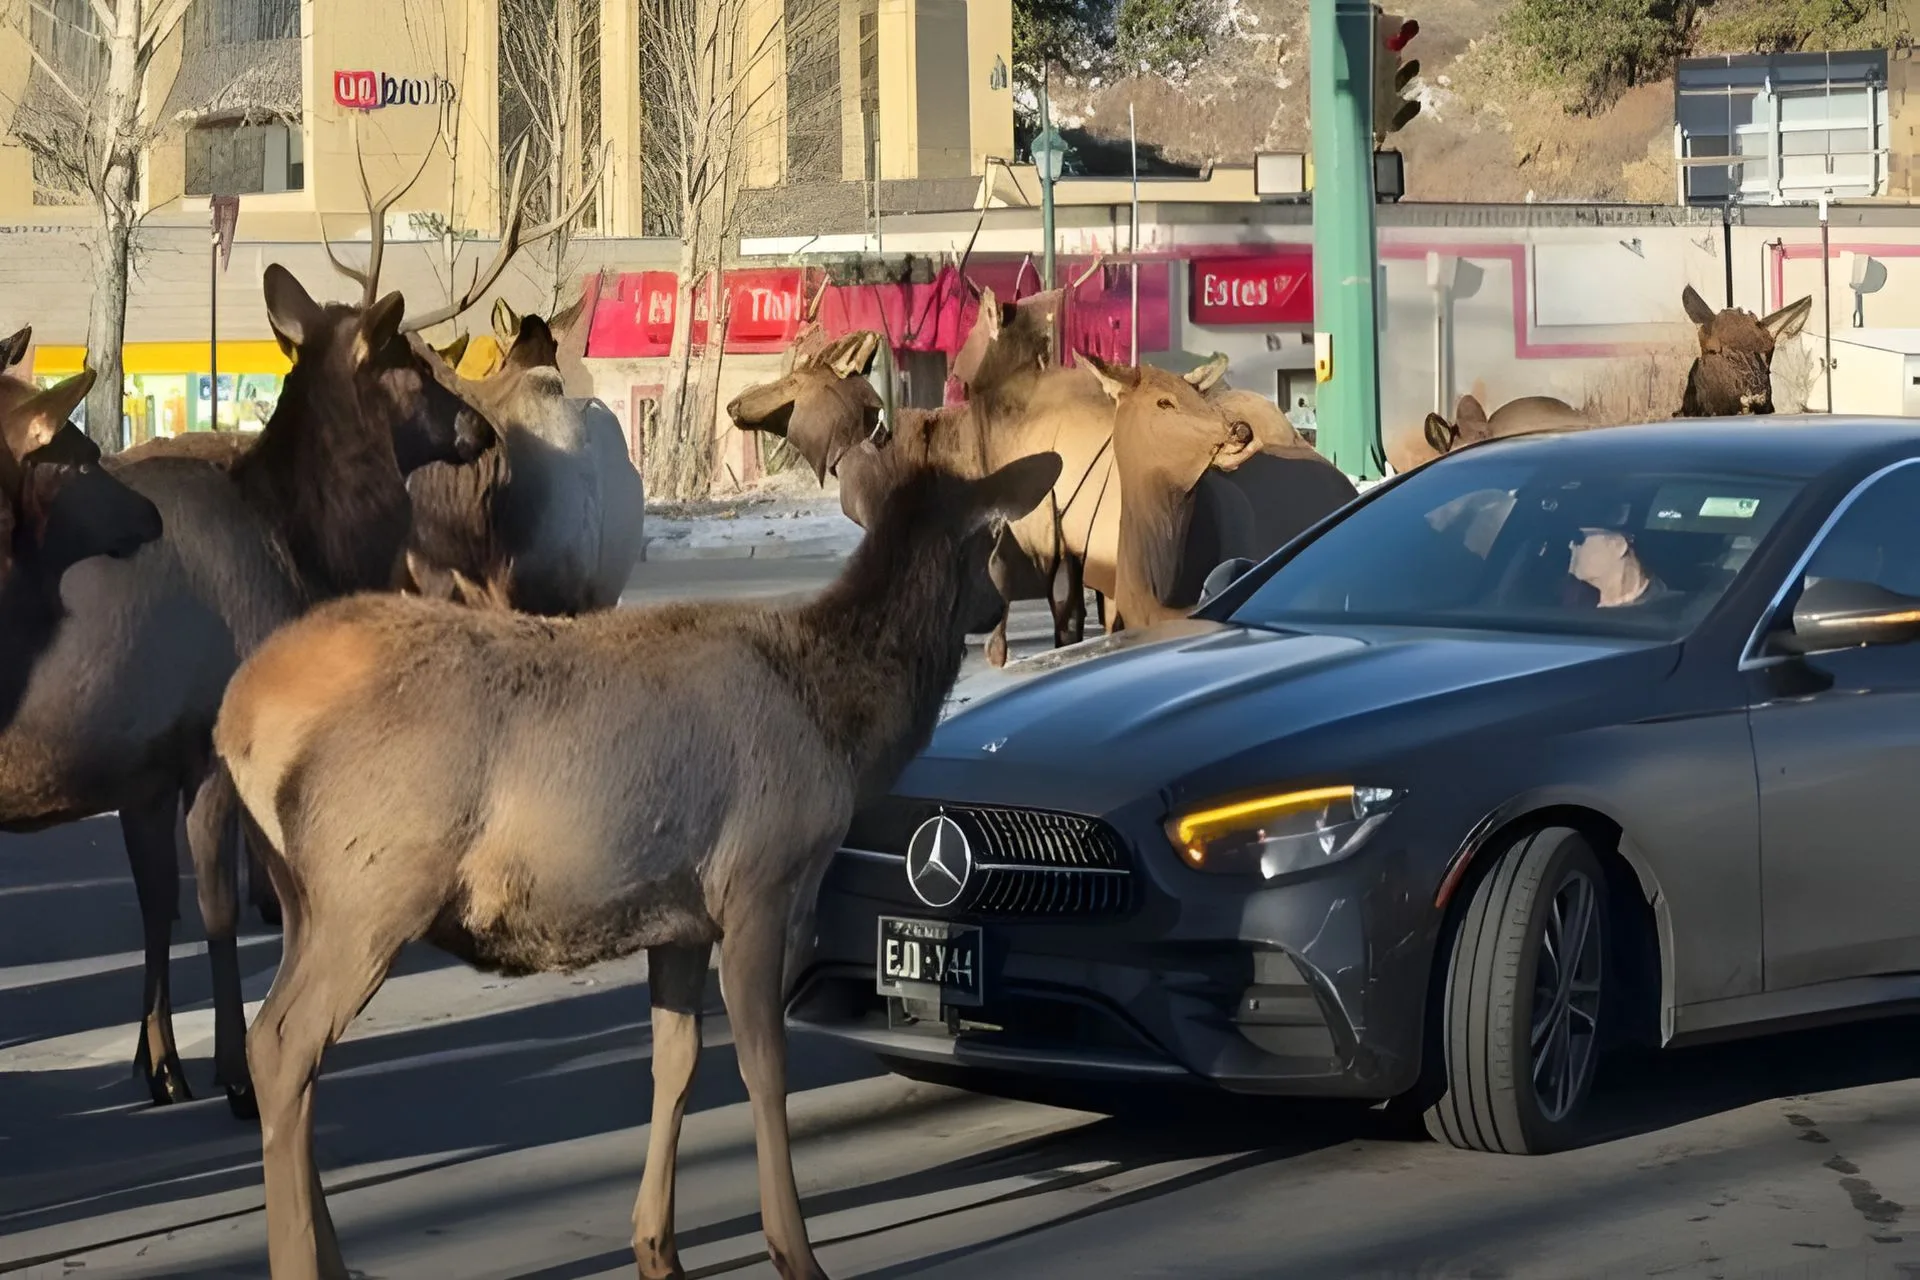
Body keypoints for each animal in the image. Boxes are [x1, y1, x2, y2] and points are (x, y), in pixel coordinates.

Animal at [209, 443, 1061, 1280]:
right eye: (996, 537)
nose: (1015, 597)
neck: (841, 731)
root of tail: (236, 720)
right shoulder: (760, 882)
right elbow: (764, 1066)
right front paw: (796, 1252)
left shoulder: (678, 915)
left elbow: (675, 1064)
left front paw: (658, 1248)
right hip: (374, 883)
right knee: (283, 1044)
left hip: (304, 898)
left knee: (289, 1052)